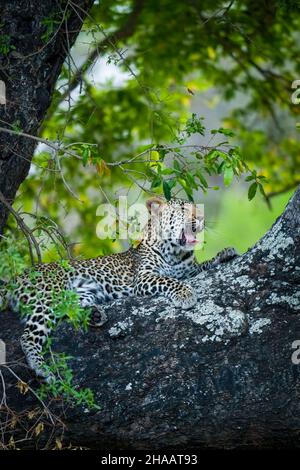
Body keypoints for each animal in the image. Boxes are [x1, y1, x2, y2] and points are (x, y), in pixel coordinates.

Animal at [0, 196, 239, 384]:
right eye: (182, 209)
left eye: (196, 207)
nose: (201, 218)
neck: (176, 252)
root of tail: (16, 278)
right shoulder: (143, 279)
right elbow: (168, 280)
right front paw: (186, 294)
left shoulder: (191, 271)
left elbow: (203, 266)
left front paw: (225, 253)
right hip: (49, 297)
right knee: (28, 336)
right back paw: (41, 368)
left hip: (78, 293)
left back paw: (96, 314)